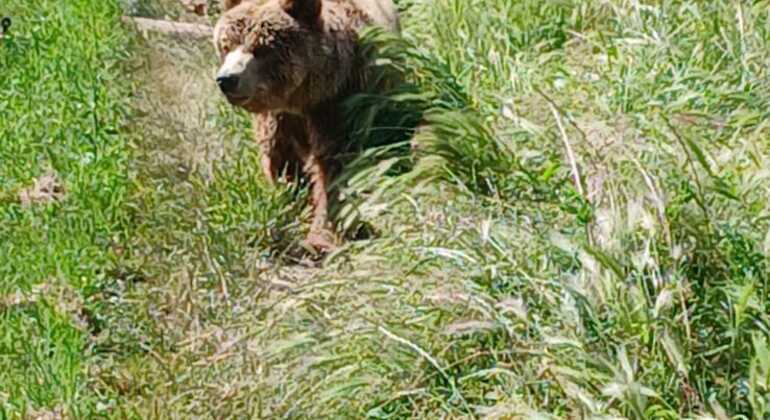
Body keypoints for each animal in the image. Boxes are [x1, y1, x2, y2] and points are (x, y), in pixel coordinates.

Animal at [212, 0, 399, 252]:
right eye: (226, 45)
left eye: (261, 48)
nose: (227, 79)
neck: (300, 99)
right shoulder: (278, 120)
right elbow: (283, 164)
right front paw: (291, 204)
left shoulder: (339, 104)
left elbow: (334, 168)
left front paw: (323, 233)